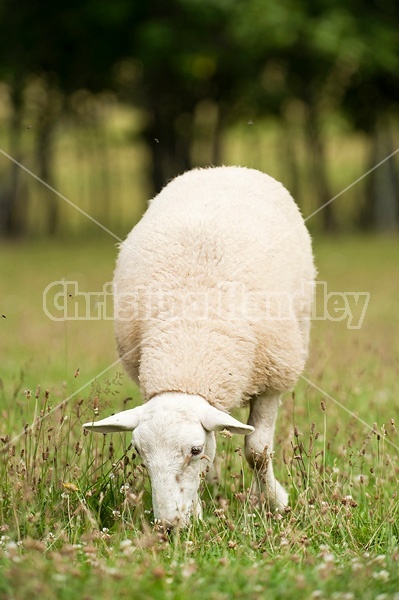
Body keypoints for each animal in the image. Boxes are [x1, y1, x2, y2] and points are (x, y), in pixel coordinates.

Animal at [83, 164, 316, 524]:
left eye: (194, 450)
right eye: (139, 452)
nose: (168, 525)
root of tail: (222, 168)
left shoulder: (272, 379)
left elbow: (257, 452)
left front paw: (274, 502)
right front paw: (199, 505)